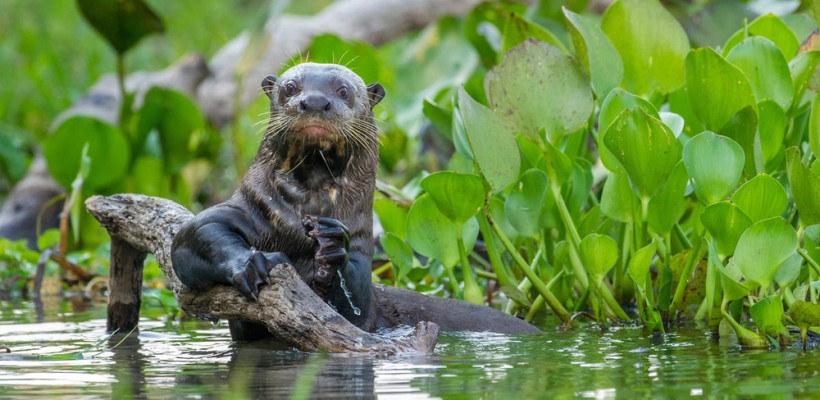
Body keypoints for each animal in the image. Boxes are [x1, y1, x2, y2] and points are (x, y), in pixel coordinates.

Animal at [169, 63, 540, 340]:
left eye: (343, 90)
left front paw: (332, 246)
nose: (314, 102)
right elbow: (192, 237)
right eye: (290, 87)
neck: (304, 212)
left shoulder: (364, 248)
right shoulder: (248, 208)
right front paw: (252, 263)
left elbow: (355, 309)